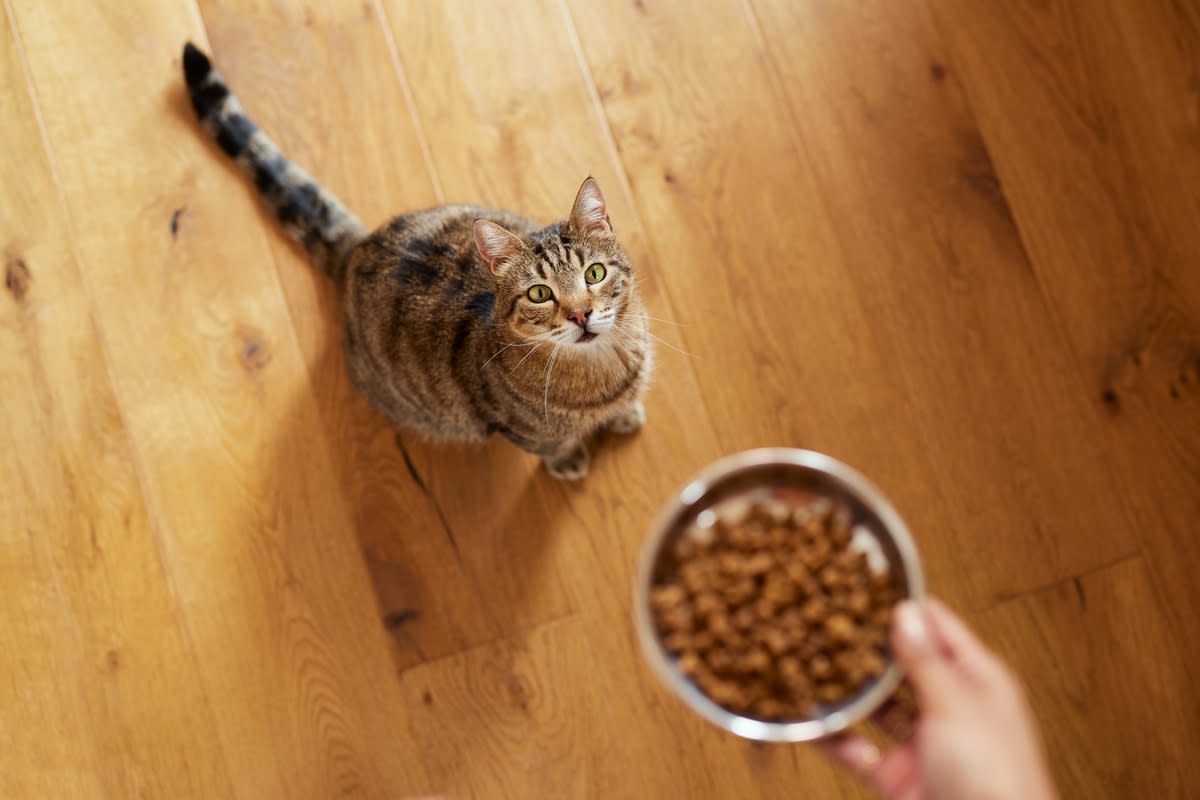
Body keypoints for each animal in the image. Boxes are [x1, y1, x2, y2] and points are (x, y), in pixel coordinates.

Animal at [182, 40, 652, 479]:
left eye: (594, 273)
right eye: (539, 293)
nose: (581, 313)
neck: (604, 368)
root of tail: (359, 246)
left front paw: (625, 413)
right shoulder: (514, 426)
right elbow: (551, 443)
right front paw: (569, 459)